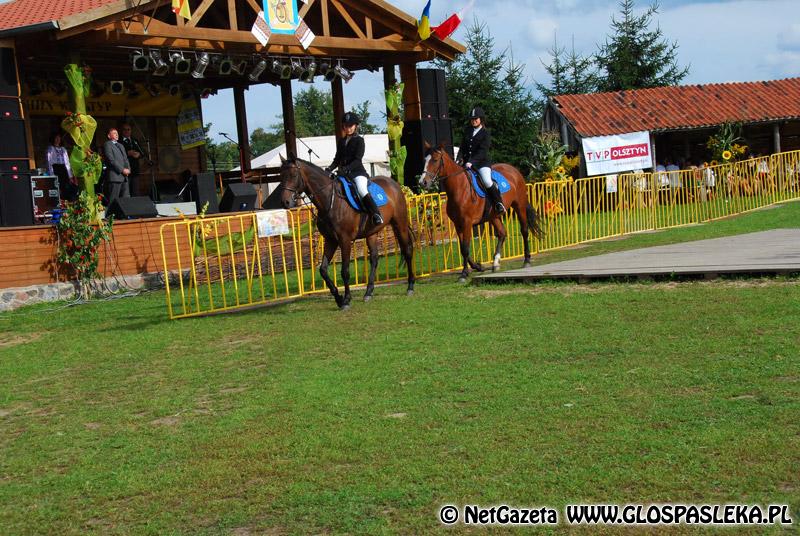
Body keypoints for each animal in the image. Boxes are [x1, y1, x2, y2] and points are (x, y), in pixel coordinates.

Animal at [279, 156, 415, 310]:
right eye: (281, 175)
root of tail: (394, 184)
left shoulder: (344, 240)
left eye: (293, 175)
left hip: (400, 224)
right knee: (374, 259)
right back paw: (368, 292)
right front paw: (338, 298)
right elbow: (323, 270)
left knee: (407, 251)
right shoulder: (330, 240)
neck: (331, 201)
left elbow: (345, 271)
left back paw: (410, 286)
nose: (285, 202)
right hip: (371, 233)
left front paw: (346, 300)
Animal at [419, 144, 543, 281]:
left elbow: (465, 248)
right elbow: (462, 248)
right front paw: (478, 267)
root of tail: (513, 170)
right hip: (493, 216)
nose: (422, 182)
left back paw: (526, 260)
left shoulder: (466, 223)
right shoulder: (458, 224)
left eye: (435, 160)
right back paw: (495, 263)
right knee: (502, 233)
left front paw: (464, 274)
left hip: (519, 206)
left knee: (524, 231)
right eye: (424, 160)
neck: (459, 187)